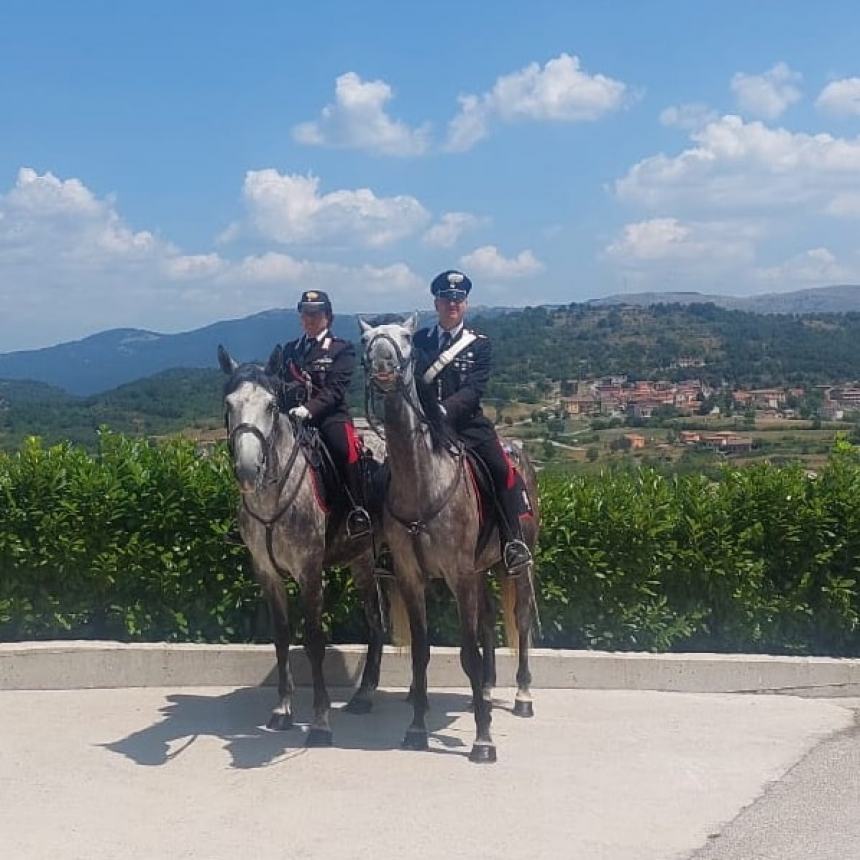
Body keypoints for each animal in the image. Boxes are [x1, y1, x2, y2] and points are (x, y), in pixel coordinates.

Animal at [220, 342, 384, 744]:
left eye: (271, 405)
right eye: (229, 404)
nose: (248, 469)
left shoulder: (310, 573)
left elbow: (313, 640)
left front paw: (321, 721)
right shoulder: (267, 573)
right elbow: (281, 637)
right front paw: (282, 710)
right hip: (363, 559)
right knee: (376, 621)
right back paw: (363, 694)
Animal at [362, 312, 536, 764]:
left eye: (406, 339)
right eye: (367, 341)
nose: (383, 367)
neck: (423, 482)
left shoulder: (459, 575)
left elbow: (467, 654)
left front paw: (483, 739)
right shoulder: (412, 576)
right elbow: (422, 652)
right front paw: (417, 728)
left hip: (519, 565)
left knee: (521, 619)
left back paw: (522, 695)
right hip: (481, 570)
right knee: (490, 619)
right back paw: (488, 691)